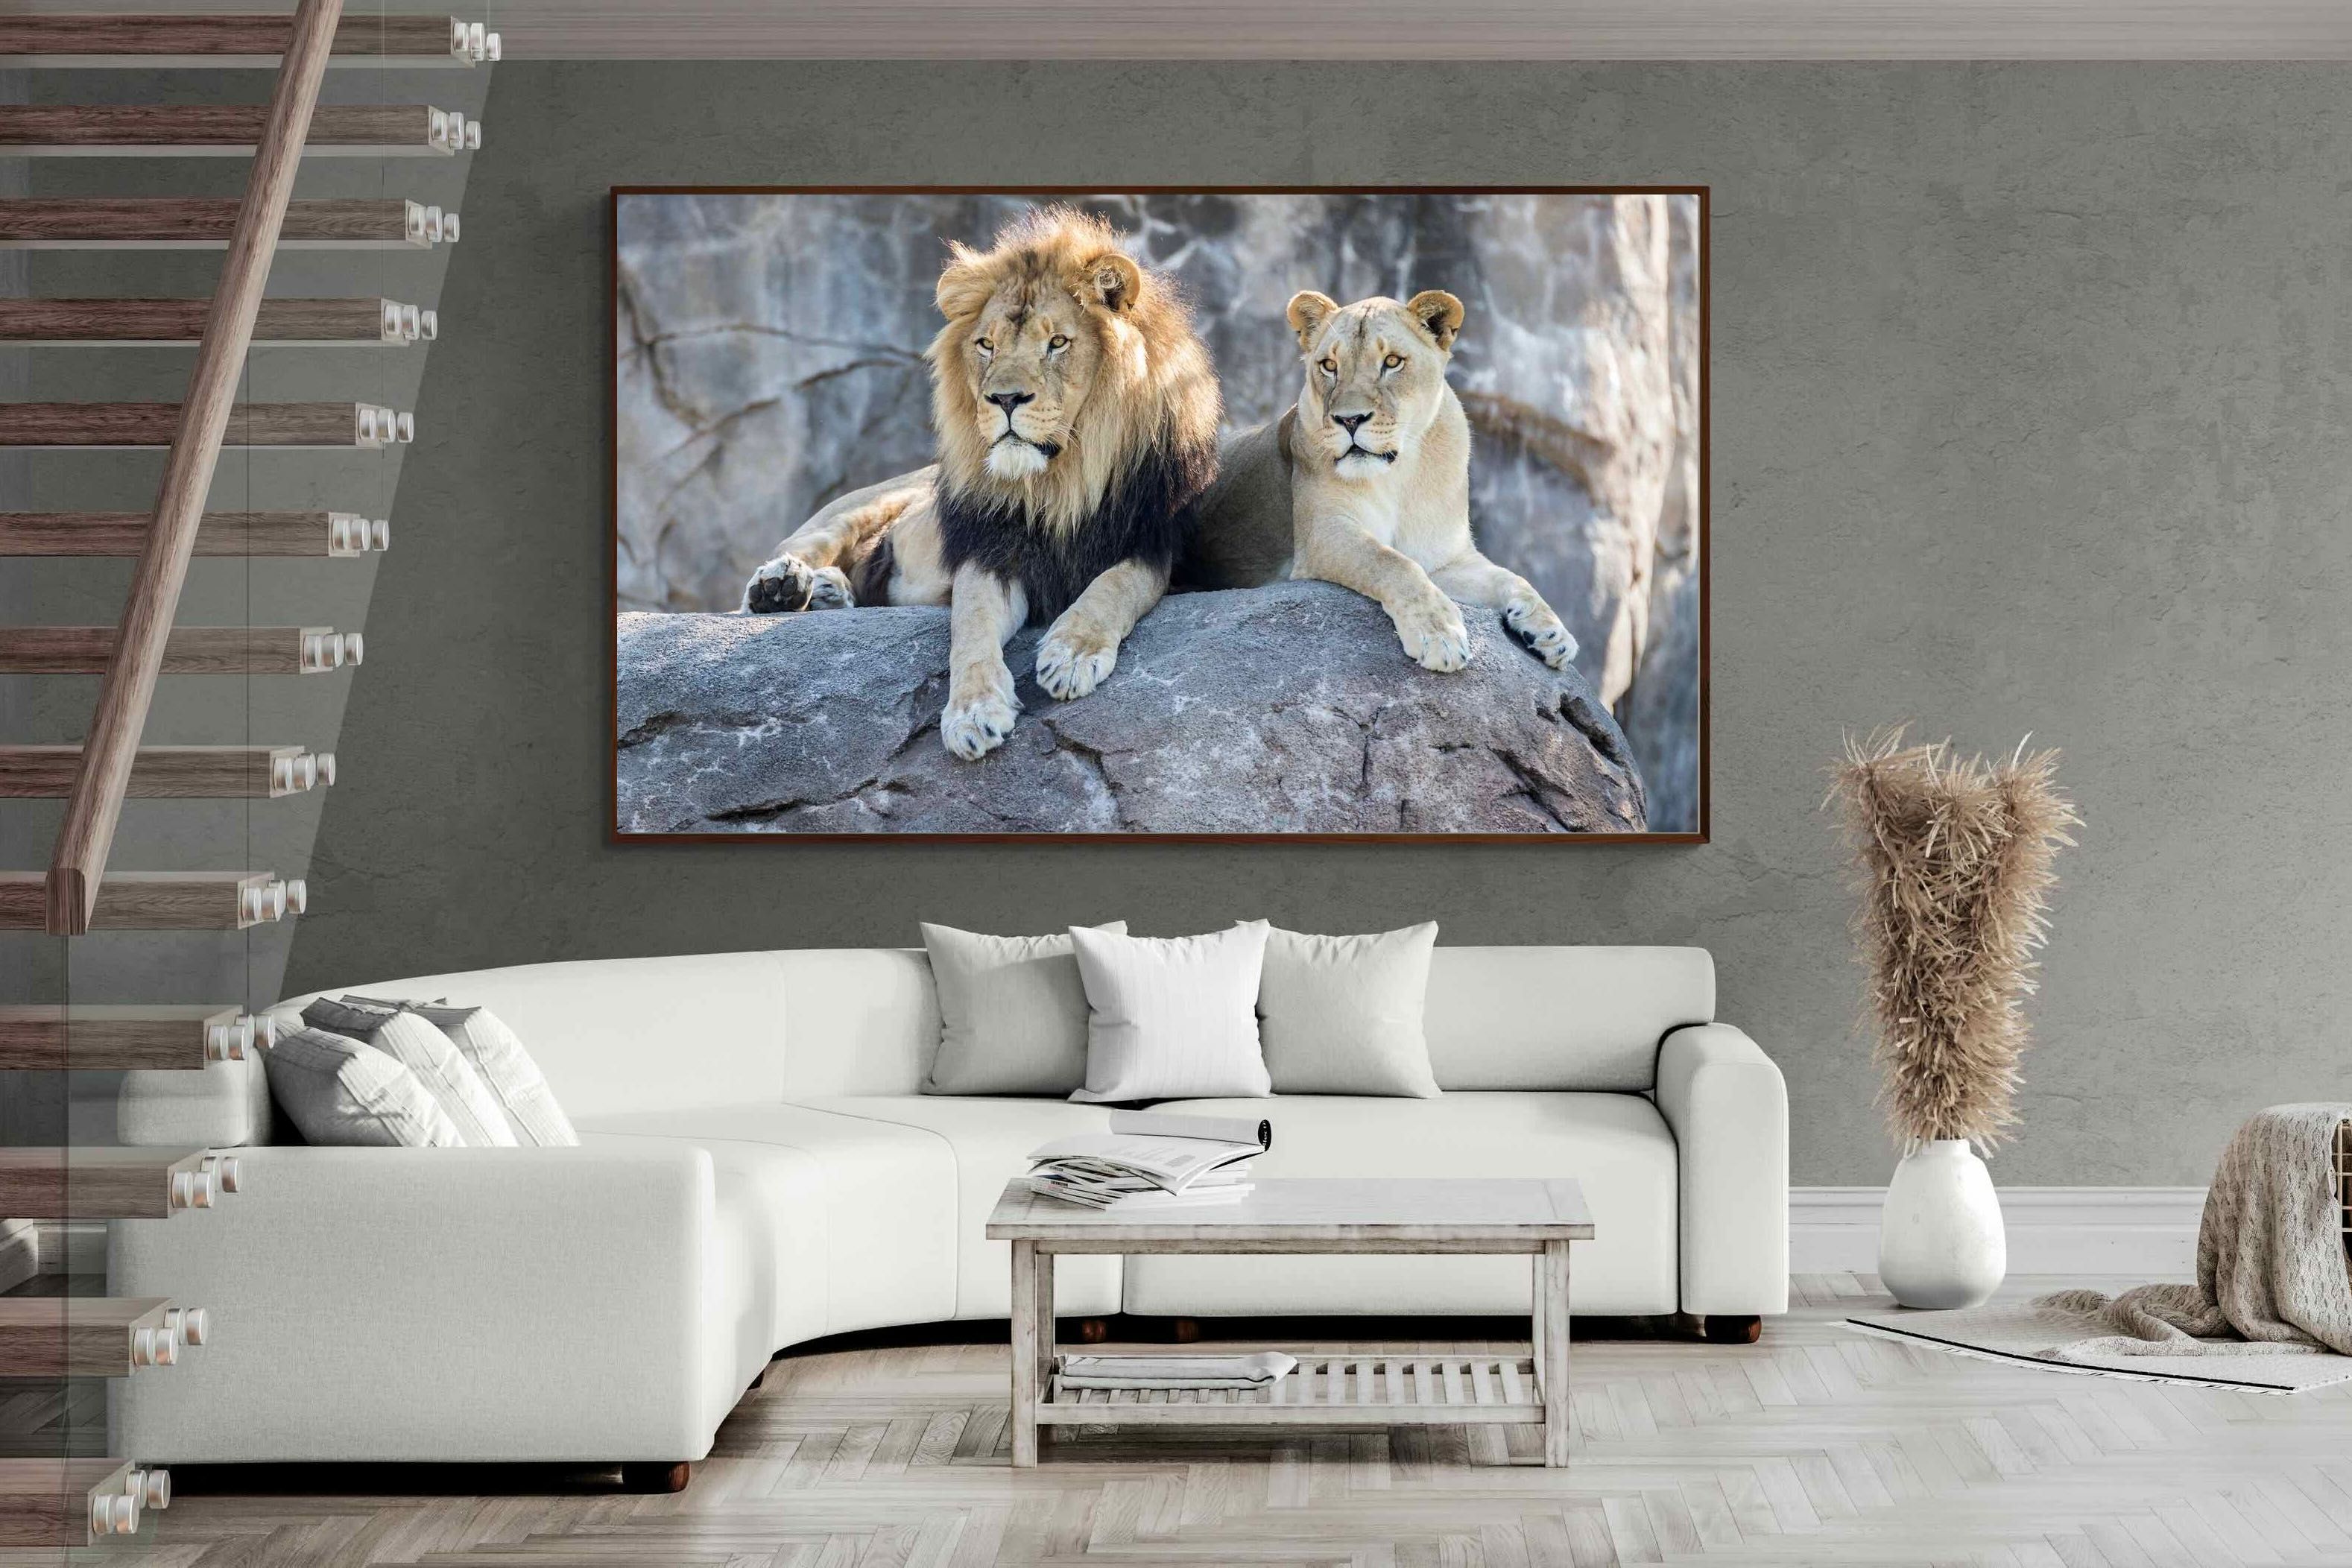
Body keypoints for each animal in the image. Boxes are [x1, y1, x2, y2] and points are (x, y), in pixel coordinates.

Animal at [740, 207, 1221, 761]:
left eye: (1057, 342)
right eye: (986, 345)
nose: (1005, 399)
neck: (1060, 483)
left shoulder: (1154, 544)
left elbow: (1115, 585)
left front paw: (1071, 654)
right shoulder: (990, 550)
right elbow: (969, 625)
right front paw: (972, 713)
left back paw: (827, 592)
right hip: (858, 507)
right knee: (797, 550)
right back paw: (782, 587)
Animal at [1181, 289, 1578, 676]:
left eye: (1392, 362)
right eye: (1329, 366)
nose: (1349, 420)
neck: (1401, 473)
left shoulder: (1445, 559)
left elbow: (1512, 578)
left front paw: (1552, 632)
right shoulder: (1324, 534)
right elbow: (1392, 563)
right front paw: (1439, 634)